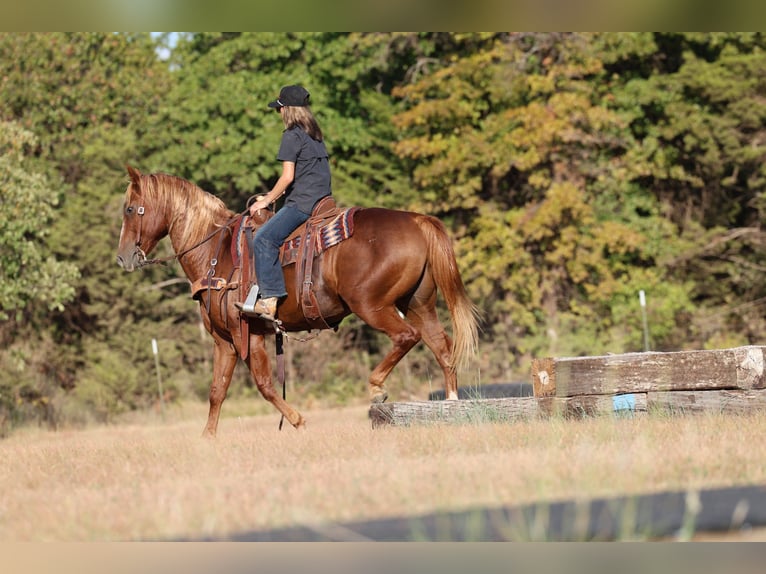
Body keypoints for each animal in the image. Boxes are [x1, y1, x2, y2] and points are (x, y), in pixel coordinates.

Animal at [116, 166, 479, 436]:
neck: (214, 254)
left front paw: (298, 420)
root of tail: (417, 220)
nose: (123, 257)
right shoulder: (224, 340)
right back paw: (451, 407)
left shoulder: (248, 334)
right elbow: (217, 390)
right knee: (443, 349)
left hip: (372, 305)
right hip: (418, 304)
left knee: (407, 337)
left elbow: (264, 385)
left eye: (131, 209)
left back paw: (377, 387)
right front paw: (208, 438)